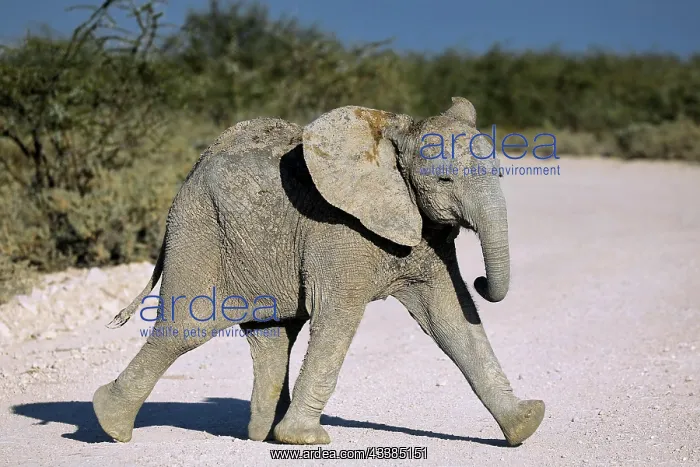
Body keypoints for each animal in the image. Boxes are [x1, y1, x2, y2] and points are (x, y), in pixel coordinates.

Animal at [92, 96, 545, 446]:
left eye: (500, 173)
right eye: (445, 179)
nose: (483, 280)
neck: (392, 138)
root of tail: (193, 168)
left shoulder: (426, 234)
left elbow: (451, 318)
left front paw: (526, 424)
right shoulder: (338, 227)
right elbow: (339, 312)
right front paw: (304, 439)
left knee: (274, 336)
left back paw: (260, 435)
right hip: (199, 228)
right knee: (187, 328)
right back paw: (110, 423)